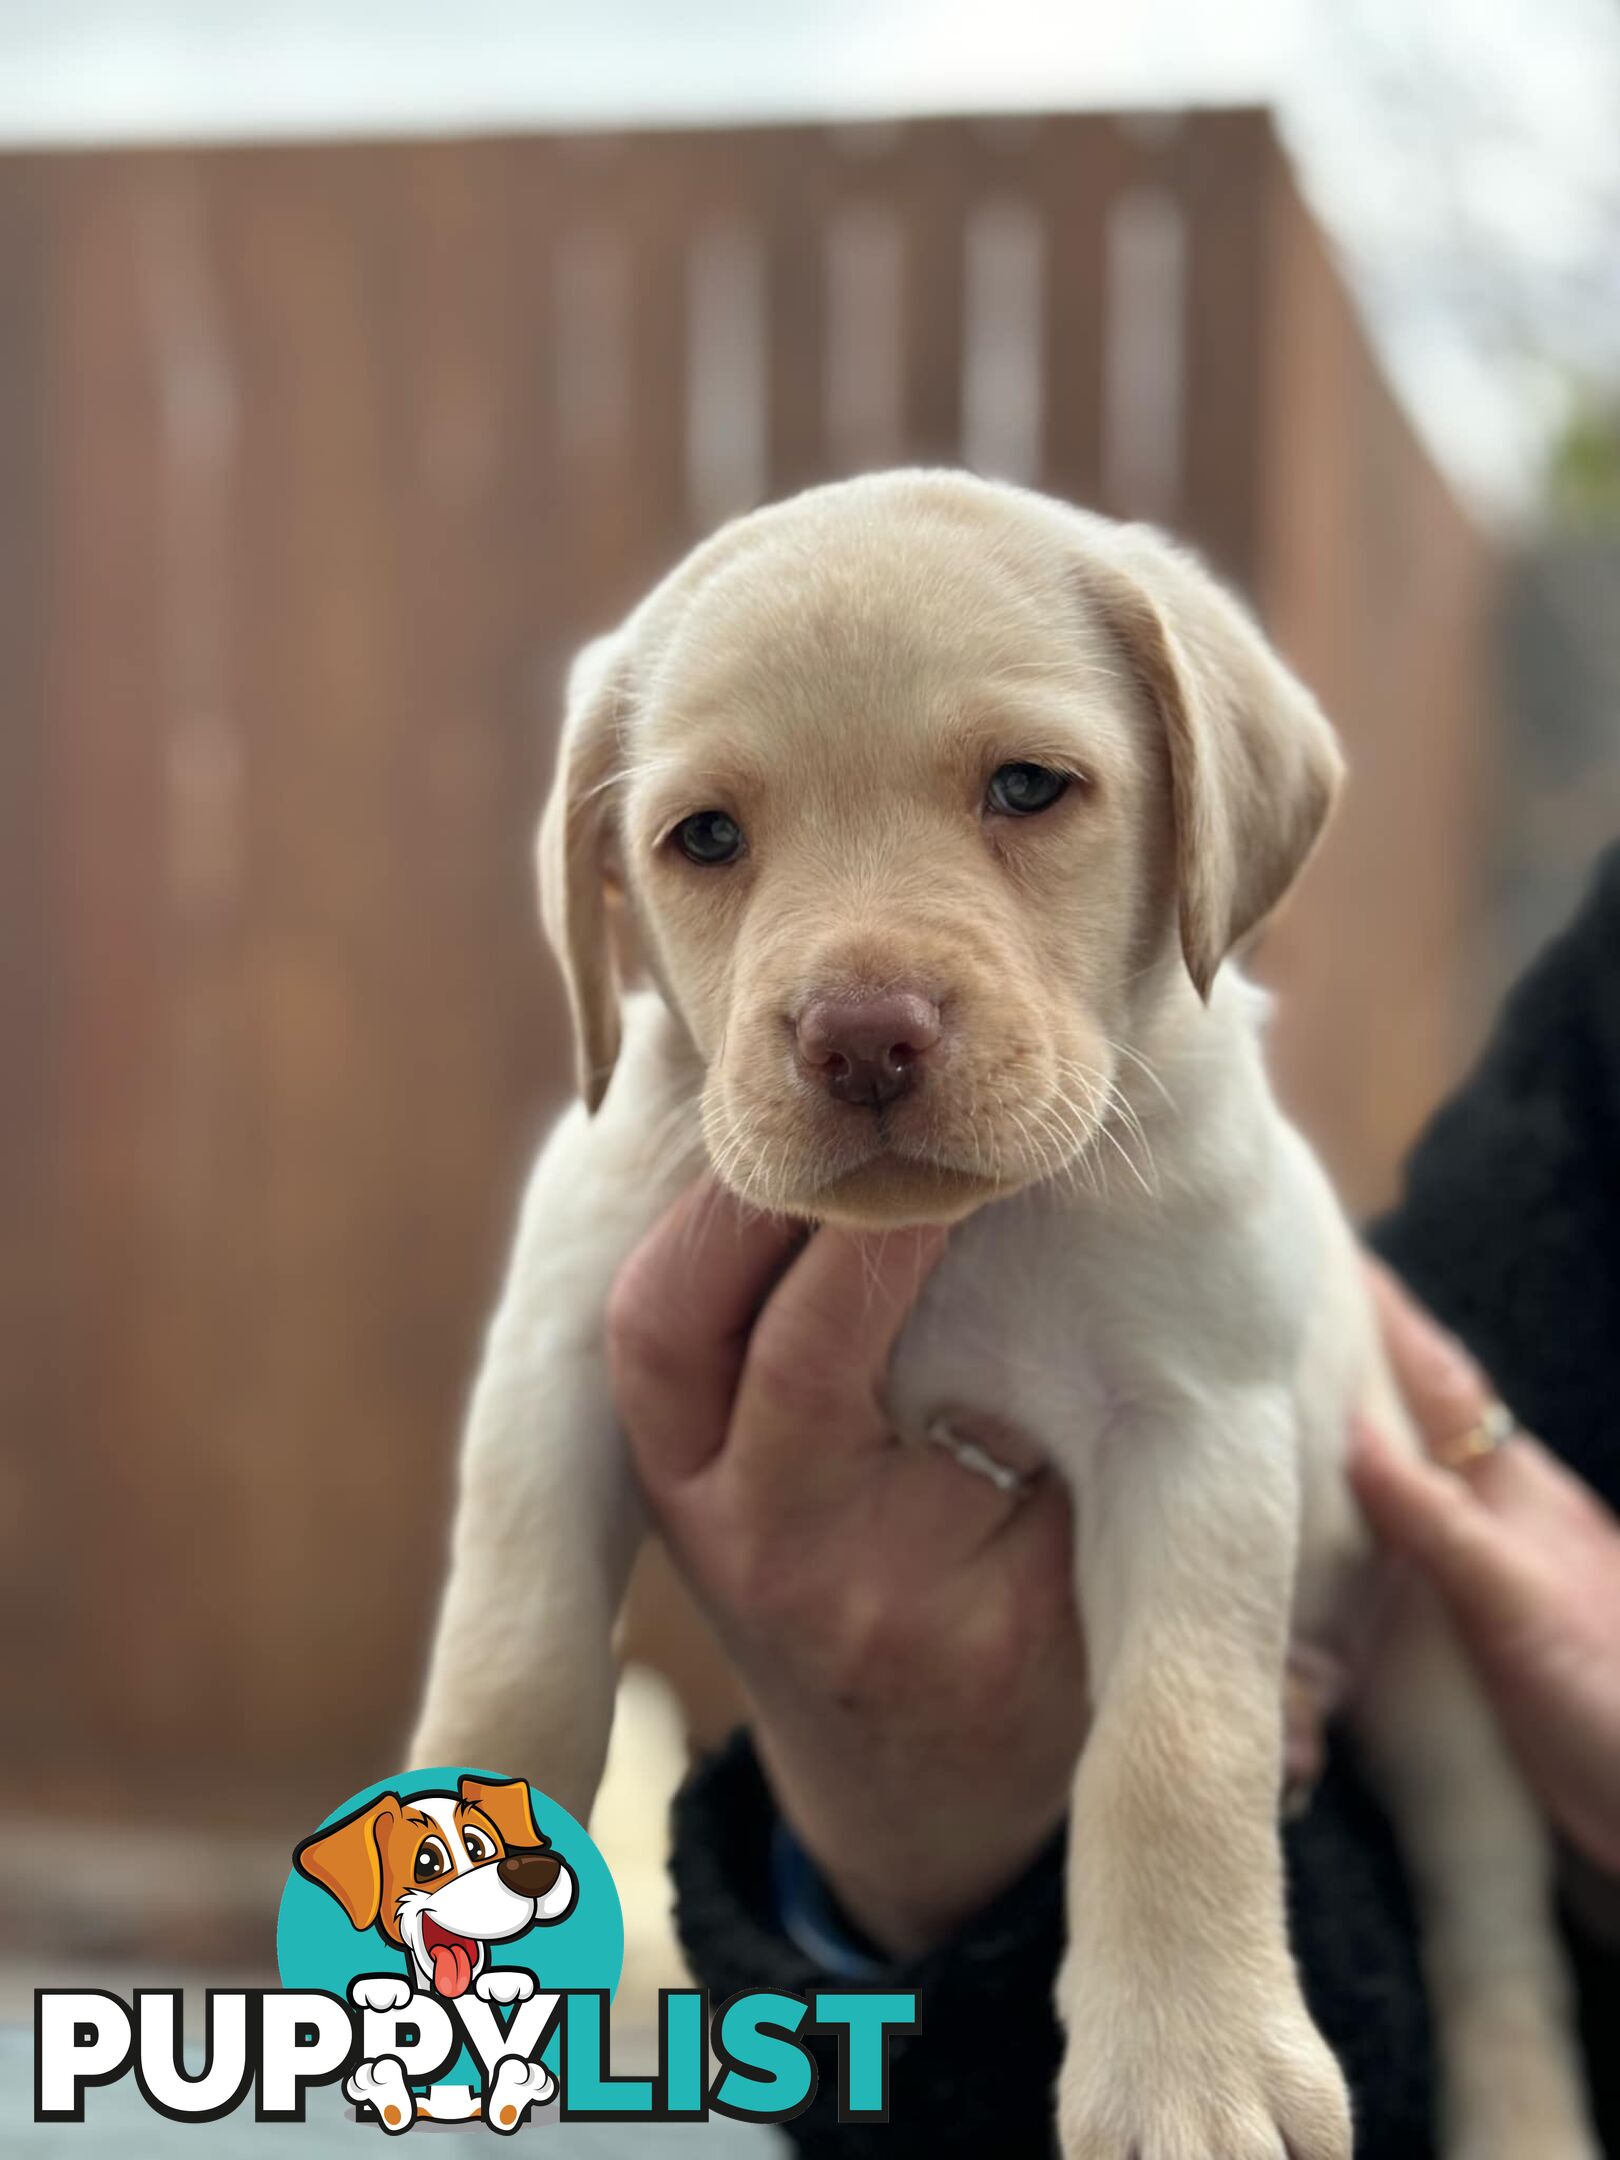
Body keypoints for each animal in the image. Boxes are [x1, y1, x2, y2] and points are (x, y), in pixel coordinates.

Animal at [408, 473, 1598, 2160]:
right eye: (705, 837)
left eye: (1030, 788)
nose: (860, 1038)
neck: (952, 1239)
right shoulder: (559, 1358)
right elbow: (508, 1652)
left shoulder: (1196, 1426)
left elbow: (1176, 1741)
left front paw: (1194, 2066)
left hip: (1443, 1651)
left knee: (1493, 1940)